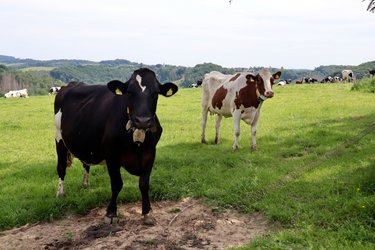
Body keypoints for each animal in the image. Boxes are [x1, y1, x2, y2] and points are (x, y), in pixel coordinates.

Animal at [53, 67, 178, 224]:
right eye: (129, 93)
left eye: (156, 94)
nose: (143, 120)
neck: (137, 144)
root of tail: (70, 84)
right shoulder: (111, 157)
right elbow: (117, 184)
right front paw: (111, 213)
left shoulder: (150, 154)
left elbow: (144, 184)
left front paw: (147, 212)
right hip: (59, 138)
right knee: (61, 168)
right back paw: (60, 193)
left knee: (86, 164)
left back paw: (86, 185)